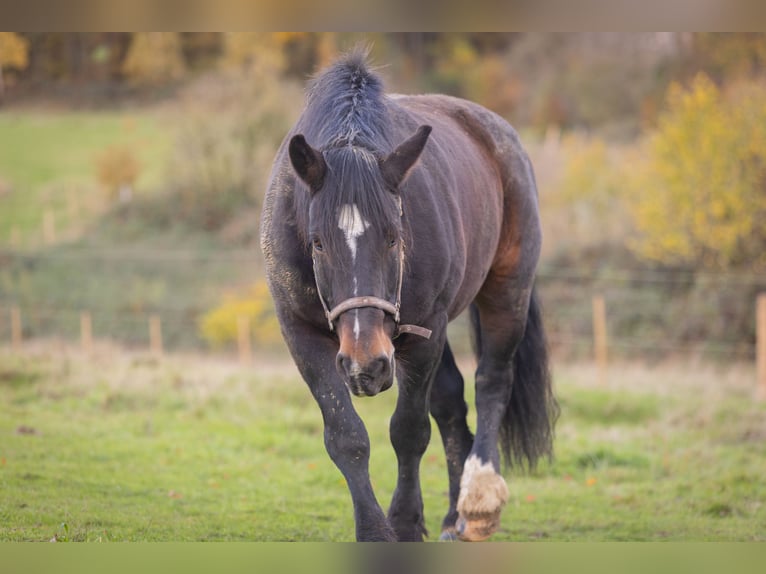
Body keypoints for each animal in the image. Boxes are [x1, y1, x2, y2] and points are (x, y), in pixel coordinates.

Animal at [260, 51, 558, 542]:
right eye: (317, 242)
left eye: (394, 237)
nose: (366, 363)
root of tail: (498, 130)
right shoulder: (299, 333)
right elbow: (346, 436)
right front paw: (374, 530)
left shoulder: (424, 331)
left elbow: (409, 431)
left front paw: (403, 522)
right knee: (453, 401)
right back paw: (453, 516)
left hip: (505, 290)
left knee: (492, 382)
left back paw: (478, 502)